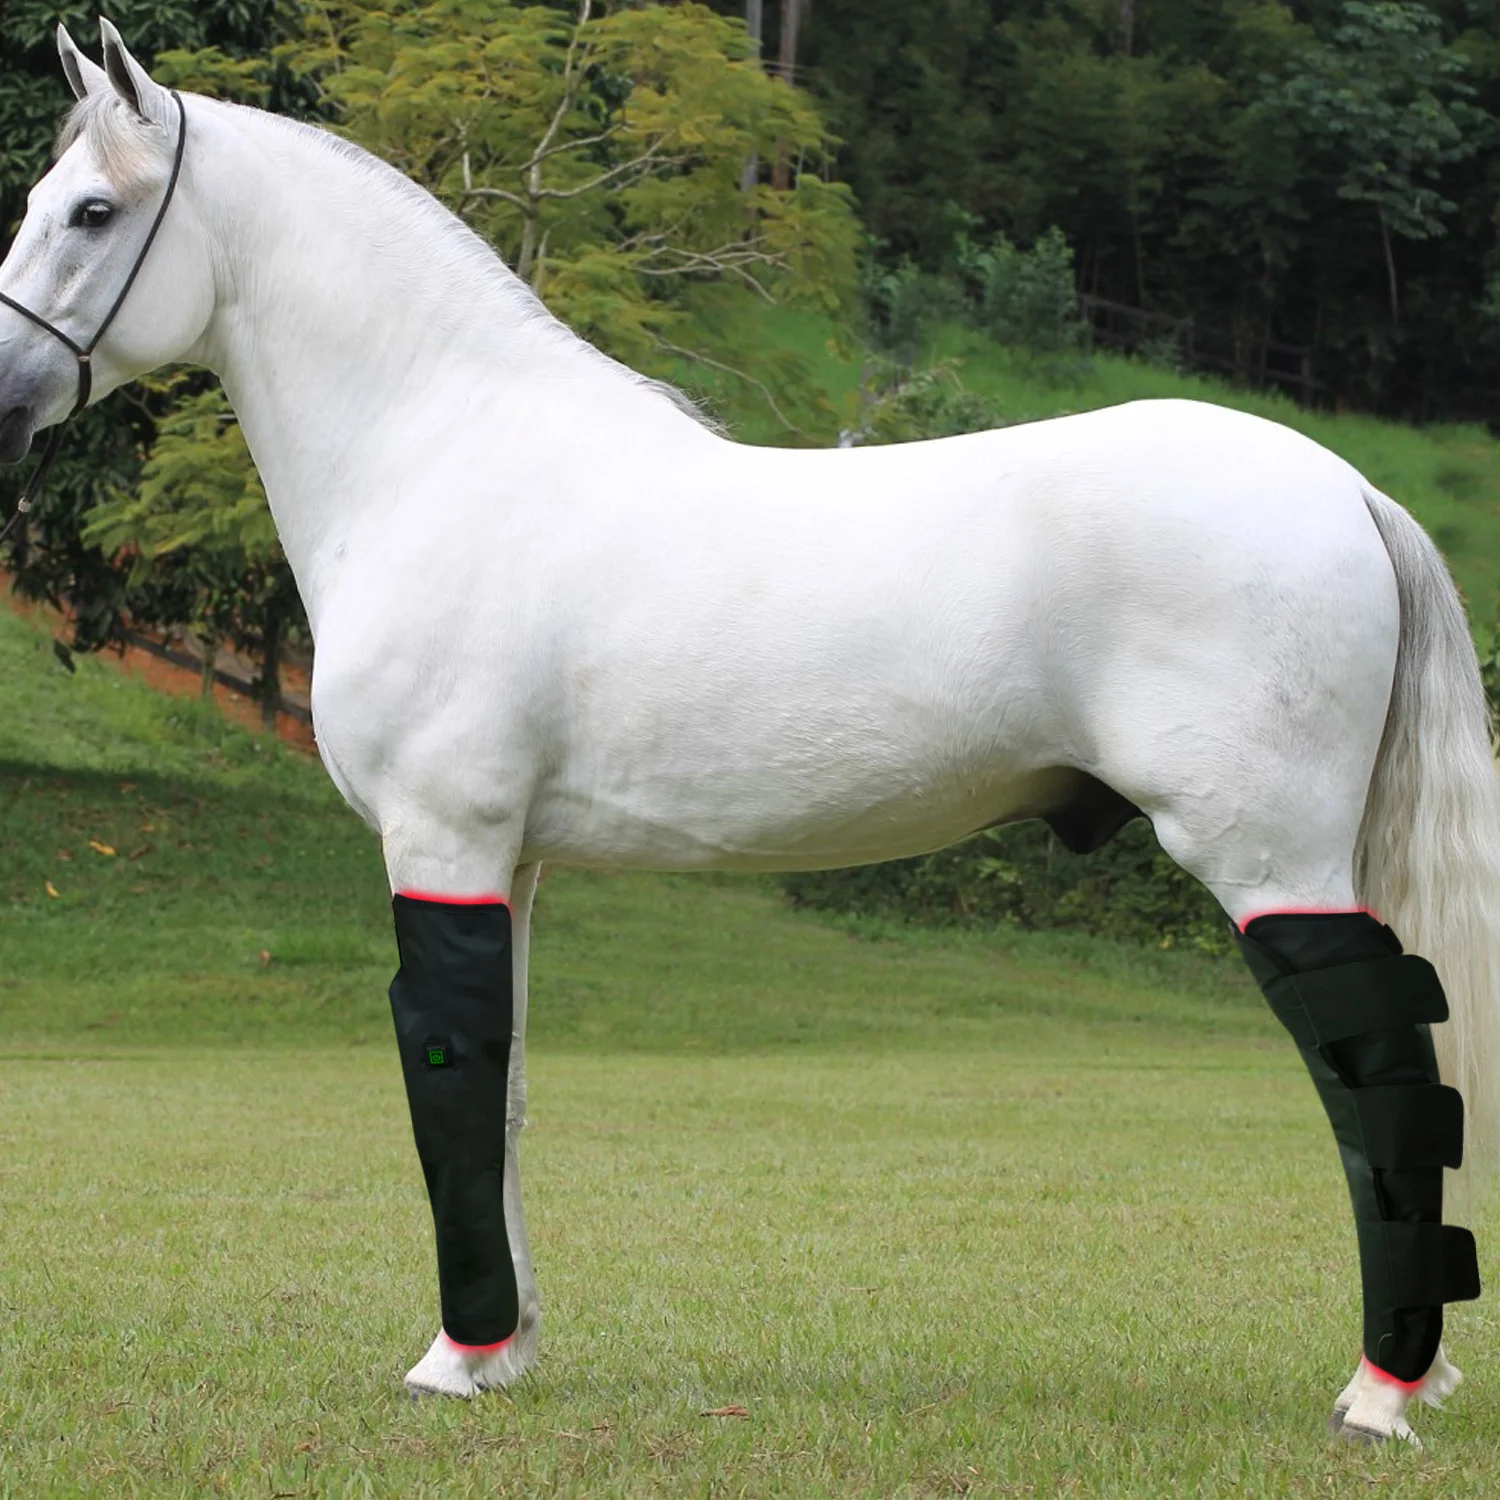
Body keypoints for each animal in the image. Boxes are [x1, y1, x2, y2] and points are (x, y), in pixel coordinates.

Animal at [2, 21, 1495, 1445]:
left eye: (90, 211)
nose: (6, 396)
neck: (444, 457)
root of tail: (1348, 488)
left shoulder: (442, 844)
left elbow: (448, 1078)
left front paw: (453, 1360)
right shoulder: (511, 863)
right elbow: (506, 1089)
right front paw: (510, 1353)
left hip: (1270, 865)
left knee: (1382, 1076)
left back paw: (1381, 1394)